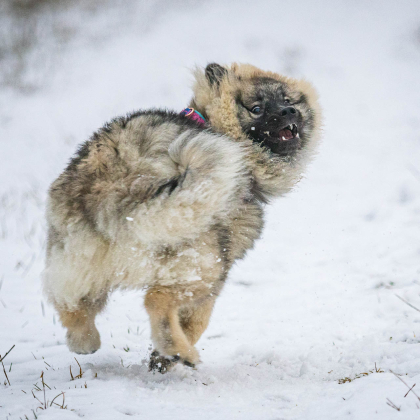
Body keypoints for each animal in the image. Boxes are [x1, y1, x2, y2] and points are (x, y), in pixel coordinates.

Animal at [42, 62, 322, 370]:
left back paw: (85, 341)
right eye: (257, 108)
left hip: (75, 262)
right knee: (156, 300)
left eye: (287, 100)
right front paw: (167, 354)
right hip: (202, 263)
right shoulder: (220, 268)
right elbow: (198, 321)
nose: (288, 112)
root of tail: (119, 186)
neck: (213, 124)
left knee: (72, 306)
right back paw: (178, 350)